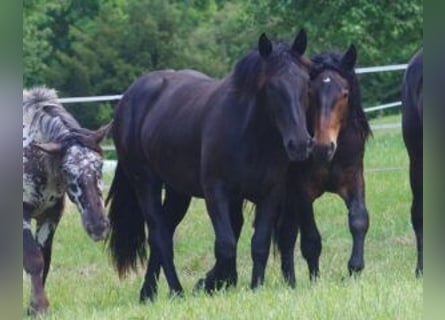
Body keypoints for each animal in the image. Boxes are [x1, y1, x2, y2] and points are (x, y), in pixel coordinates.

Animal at [22, 87, 111, 316]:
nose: (98, 226)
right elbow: (33, 259)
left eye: (99, 165)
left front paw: (33, 307)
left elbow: (44, 259)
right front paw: (39, 306)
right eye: (67, 171)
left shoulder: (50, 216)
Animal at [106, 28, 310, 302]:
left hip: (177, 192)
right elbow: (225, 245)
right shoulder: (217, 192)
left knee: (165, 232)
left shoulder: (270, 194)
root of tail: (129, 98)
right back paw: (176, 291)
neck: (249, 133)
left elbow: (259, 244)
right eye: (272, 86)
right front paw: (210, 283)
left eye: (305, 82)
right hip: (145, 183)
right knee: (160, 237)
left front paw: (253, 286)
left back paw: (148, 293)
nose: (299, 144)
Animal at [274, 44, 372, 284]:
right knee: (286, 234)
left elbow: (359, 220)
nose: (322, 146)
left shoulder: (354, 179)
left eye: (345, 94)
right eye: (310, 93)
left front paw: (354, 268)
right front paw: (315, 280)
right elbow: (310, 239)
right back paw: (291, 281)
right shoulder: (302, 192)